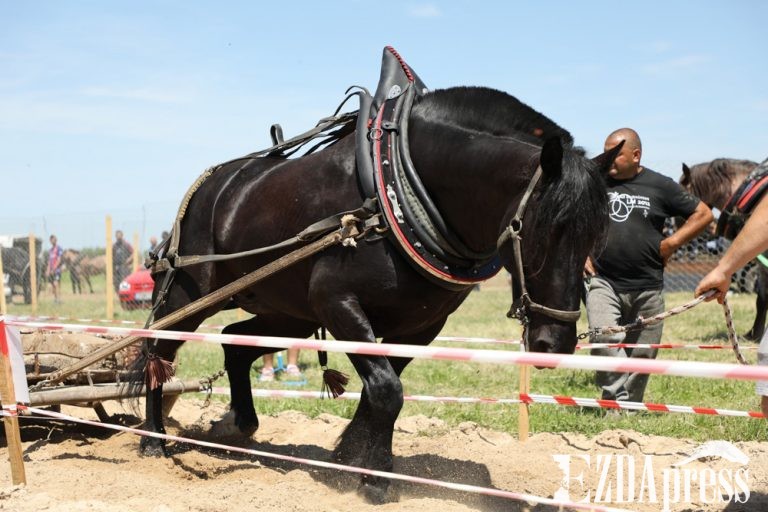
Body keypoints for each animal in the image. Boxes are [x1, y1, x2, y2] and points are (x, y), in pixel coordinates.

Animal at [134, 86, 616, 502]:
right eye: (538, 231)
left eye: (595, 236)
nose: (554, 343)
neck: (393, 199)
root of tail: (212, 184)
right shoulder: (338, 305)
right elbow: (387, 390)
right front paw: (377, 480)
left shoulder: (422, 325)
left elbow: (381, 390)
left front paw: (351, 458)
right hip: (189, 295)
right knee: (158, 349)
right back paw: (153, 440)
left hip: (287, 314)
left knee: (235, 344)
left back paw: (239, 425)